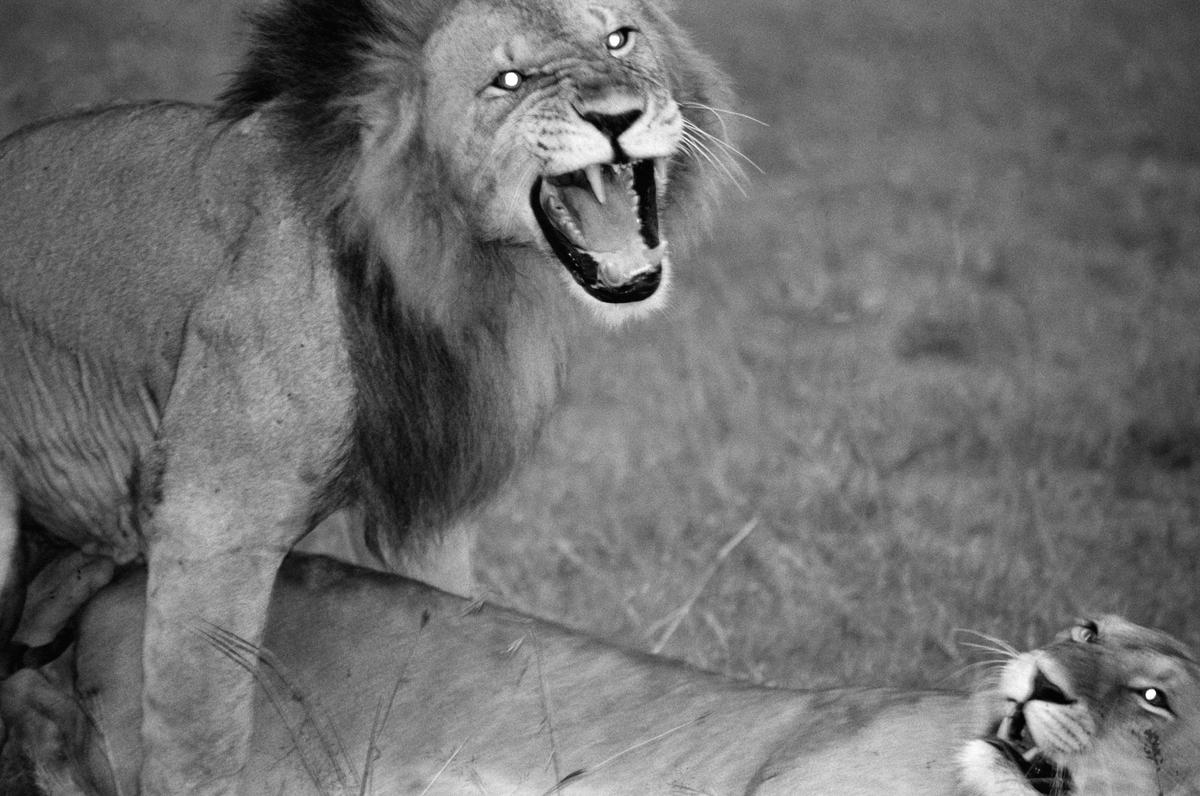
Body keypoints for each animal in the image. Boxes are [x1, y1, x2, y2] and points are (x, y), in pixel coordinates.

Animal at [0, 0, 729, 791]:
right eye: (508, 80)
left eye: (619, 39)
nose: (618, 115)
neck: (454, 276)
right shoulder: (210, 521)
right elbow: (199, 742)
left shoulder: (430, 511)